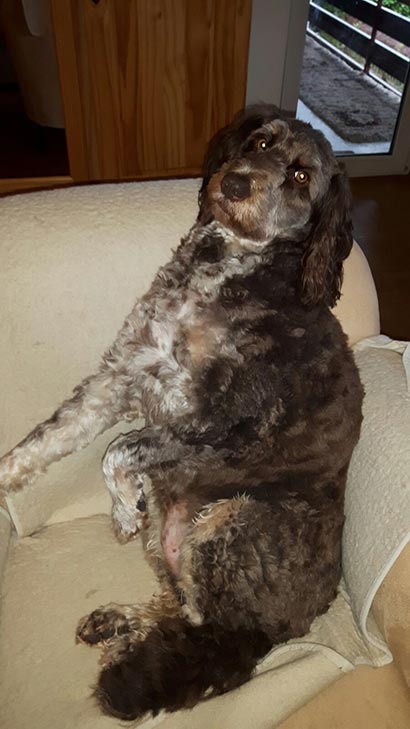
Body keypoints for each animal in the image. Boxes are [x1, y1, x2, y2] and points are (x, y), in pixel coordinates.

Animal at [0, 106, 363, 720]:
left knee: (199, 627)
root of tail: (271, 634)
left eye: (299, 177)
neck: (228, 272)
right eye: (259, 142)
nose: (235, 184)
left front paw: (122, 508)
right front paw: (9, 475)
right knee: (177, 609)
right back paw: (117, 623)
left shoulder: (230, 426)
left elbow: (121, 450)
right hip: (172, 528)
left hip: (233, 519)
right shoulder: (123, 372)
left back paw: (130, 637)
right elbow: (53, 436)